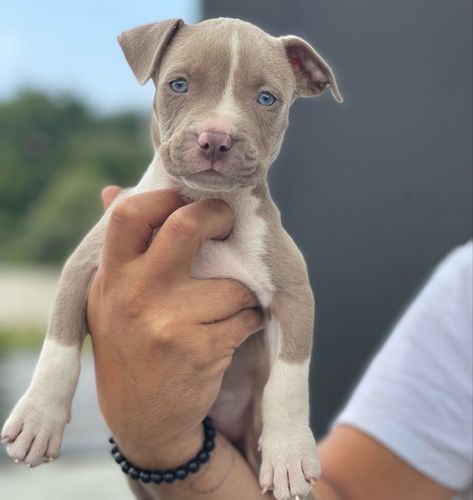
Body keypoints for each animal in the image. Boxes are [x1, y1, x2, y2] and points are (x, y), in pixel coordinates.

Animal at [0, 16, 340, 500]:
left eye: (266, 98)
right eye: (178, 84)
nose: (216, 138)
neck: (202, 199)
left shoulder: (293, 292)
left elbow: (289, 379)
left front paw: (290, 451)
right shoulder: (84, 263)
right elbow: (59, 344)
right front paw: (37, 418)